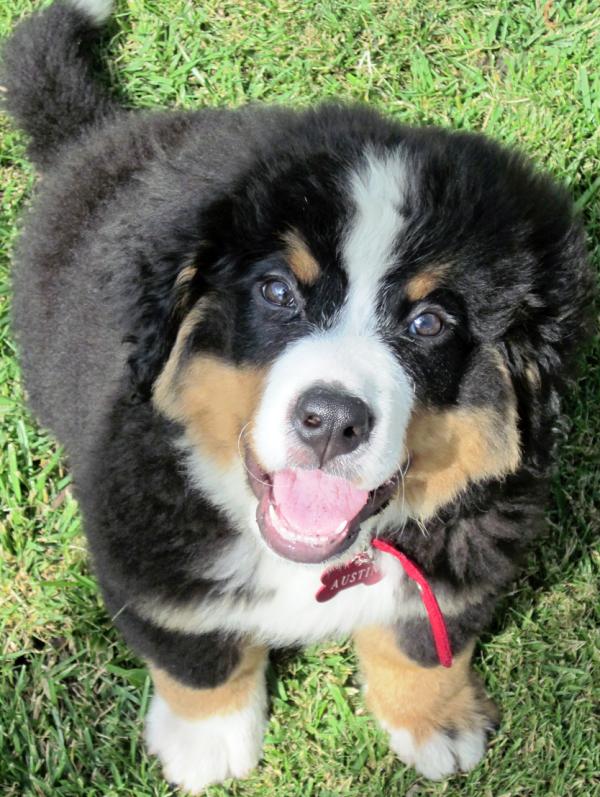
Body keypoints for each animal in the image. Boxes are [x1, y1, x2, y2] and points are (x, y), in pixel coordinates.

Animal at [2, 0, 592, 788]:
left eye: (429, 322)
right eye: (278, 291)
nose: (332, 421)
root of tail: (96, 137)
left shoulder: (472, 544)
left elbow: (423, 639)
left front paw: (434, 722)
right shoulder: (149, 549)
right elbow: (196, 651)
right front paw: (208, 741)